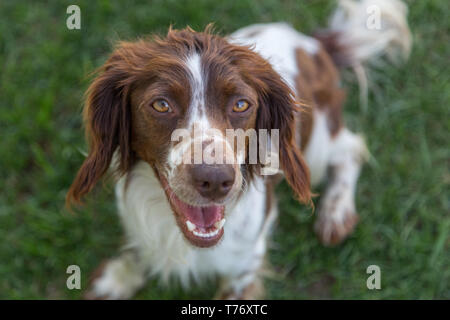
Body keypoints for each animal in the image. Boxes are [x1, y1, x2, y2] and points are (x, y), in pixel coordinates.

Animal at [66, 0, 412, 300]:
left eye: (241, 104)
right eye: (161, 104)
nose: (215, 180)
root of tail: (313, 43)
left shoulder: (246, 260)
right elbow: (140, 247)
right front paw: (118, 278)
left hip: (314, 144)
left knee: (351, 148)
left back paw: (336, 213)